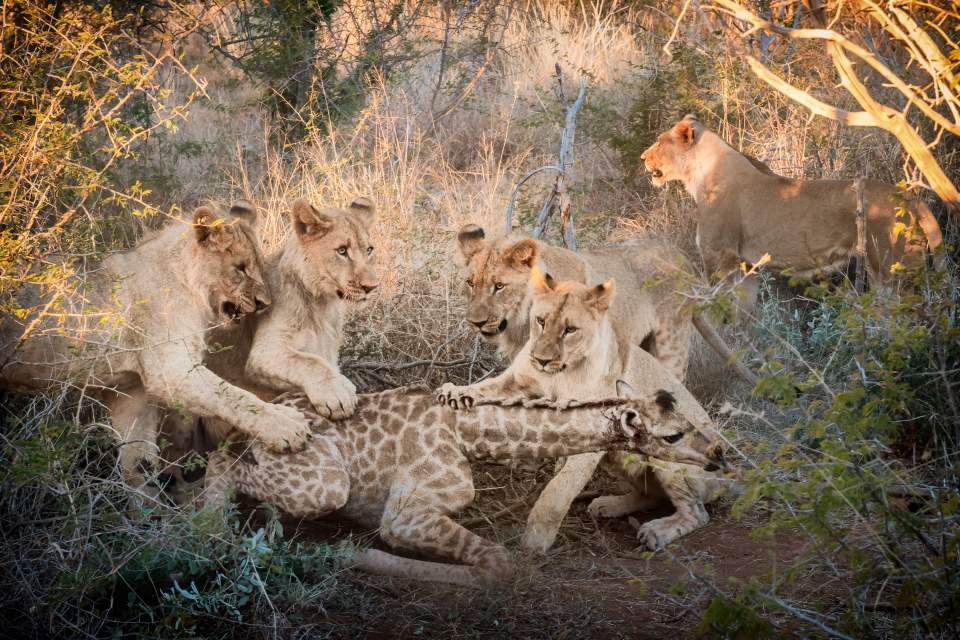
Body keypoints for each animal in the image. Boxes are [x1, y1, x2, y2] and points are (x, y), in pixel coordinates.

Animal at [0, 204, 312, 490]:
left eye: (258, 263)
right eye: (240, 268)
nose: (264, 303)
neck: (186, 280)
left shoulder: (131, 391)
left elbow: (138, 464)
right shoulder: (171, 370)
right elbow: (234, 396)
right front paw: (287, 426)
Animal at [204, 382, 728, 588]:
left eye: (685, 421)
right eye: (674, 434)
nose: (719, 454)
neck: (470, 435)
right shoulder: (404, 514)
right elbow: (498, 564)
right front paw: (353, 554)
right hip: (325, 484)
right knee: (220, 460)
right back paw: (210, 530)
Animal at [438, 268, 732, 552]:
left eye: (570, 329)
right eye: (541, 321)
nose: (541, 360)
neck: (561, 373)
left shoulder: (595, 430)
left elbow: (560, 488)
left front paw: (535, 541)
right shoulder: (519, 380)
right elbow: (487, 386)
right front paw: (456, 391)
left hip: (670, 454)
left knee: (696, 512)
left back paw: (656, 532)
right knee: (652, 495)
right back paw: (608, 505)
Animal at [454, 225, 752, 384]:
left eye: (499, 286)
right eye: (470, 283)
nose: (476, 323)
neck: (521, 321)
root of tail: (678, 254)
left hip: (672, 345)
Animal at [640, 116, 940, 314]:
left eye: (659, 143)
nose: (643, 157)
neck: (699, 174)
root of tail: (911, 199)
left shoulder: (719, 258)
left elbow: (719, 312)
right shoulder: (746, 267)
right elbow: (744, 316)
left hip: (894, 271)